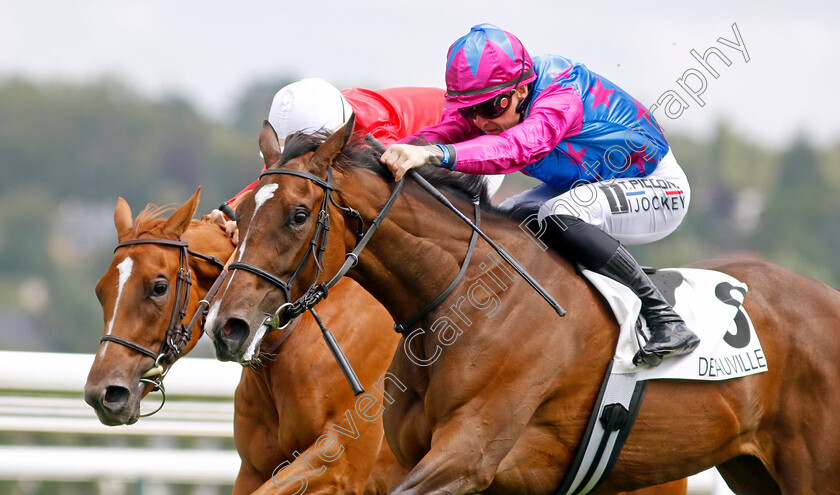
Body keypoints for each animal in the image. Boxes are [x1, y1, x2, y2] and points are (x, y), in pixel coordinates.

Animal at [207, 118, 840, 494]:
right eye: (240, 215)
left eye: (297, 215)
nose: (227, 326)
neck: (464, 300)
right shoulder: (407, 458)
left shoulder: (468, 456)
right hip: (753, 469)